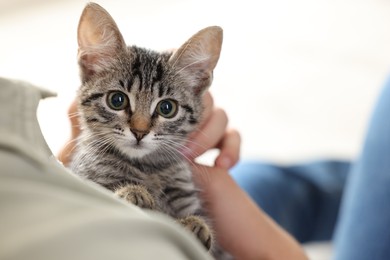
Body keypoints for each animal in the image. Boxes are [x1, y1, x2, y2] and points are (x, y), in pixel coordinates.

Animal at [70, 2, 232, 260]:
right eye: (117, 100)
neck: (147, 168)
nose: (139, 131)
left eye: (167, 108)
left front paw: (196, 227)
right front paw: (133, 194)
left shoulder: (184, 194)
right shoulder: (86, 179)